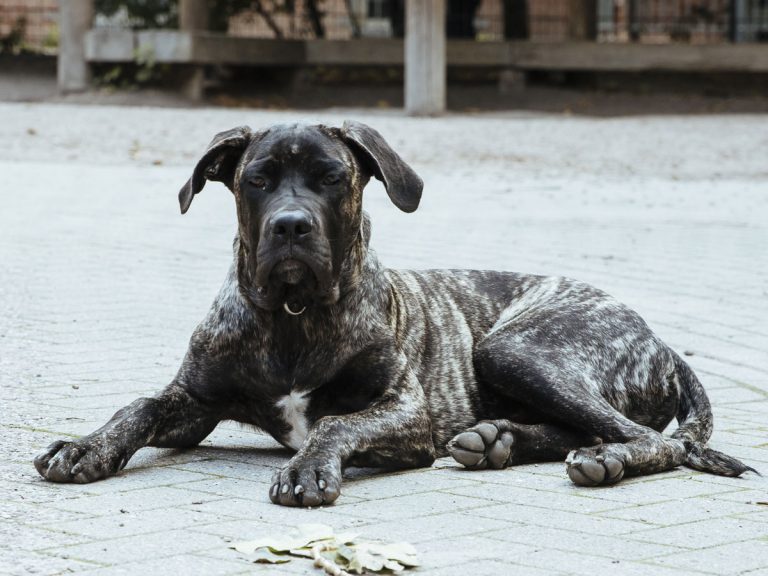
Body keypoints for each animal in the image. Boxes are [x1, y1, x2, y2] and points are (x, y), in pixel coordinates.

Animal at [31, 120, 756, 504]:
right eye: (257, 179)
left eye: (331, 177)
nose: (291, 226)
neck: (292, 314)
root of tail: (658, 338)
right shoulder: (192, 401)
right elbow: (138, 406)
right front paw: (86, 445)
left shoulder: (407, 412)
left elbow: (334, 424)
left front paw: (307, 468)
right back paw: (497, 441)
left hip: (514, 348)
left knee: (658, 440)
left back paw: (600, 460)